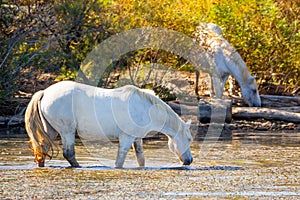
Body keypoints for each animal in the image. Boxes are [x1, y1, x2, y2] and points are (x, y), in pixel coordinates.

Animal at [26, 80, 195, 168]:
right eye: (189, 139)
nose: (189, 160)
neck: (144, 108)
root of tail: (45, 92)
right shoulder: (126, 138)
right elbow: (119, 161)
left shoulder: (136, 138)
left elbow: (141, 159)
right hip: (67, 131)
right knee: (68, 153)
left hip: (51, 131)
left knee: (42, 150)